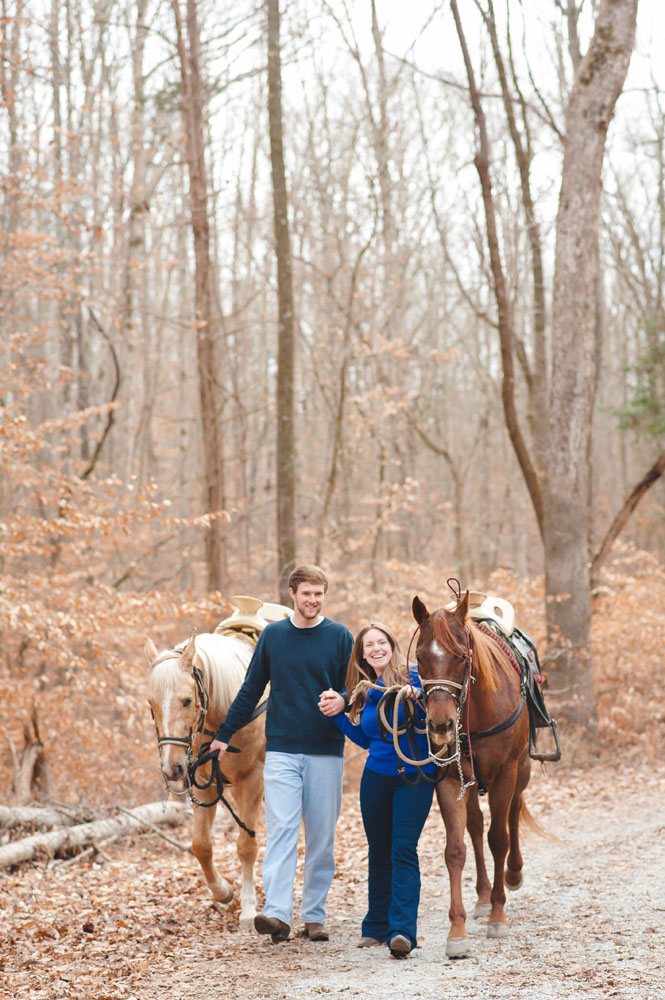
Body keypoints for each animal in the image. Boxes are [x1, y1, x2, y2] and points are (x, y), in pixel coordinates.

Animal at [145, 628, 264, 924]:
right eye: (151, 704)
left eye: (187, 701)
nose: (171, 768)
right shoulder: (204, 783)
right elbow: (201, 845)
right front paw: (222, 890)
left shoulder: (253, 780)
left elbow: (246, 845)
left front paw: (248, 908)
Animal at [410, 588, 536, 956]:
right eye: (420, 657)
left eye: (461, 658)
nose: (440, 725)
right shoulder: (450, 780)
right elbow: (456, 849)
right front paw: (457, 930)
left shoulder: (506, 773)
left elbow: (499, 839)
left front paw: (498, 915)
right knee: (477, 827)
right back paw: (481, 897)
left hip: (520, 771)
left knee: (512, 814)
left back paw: (513, 875)